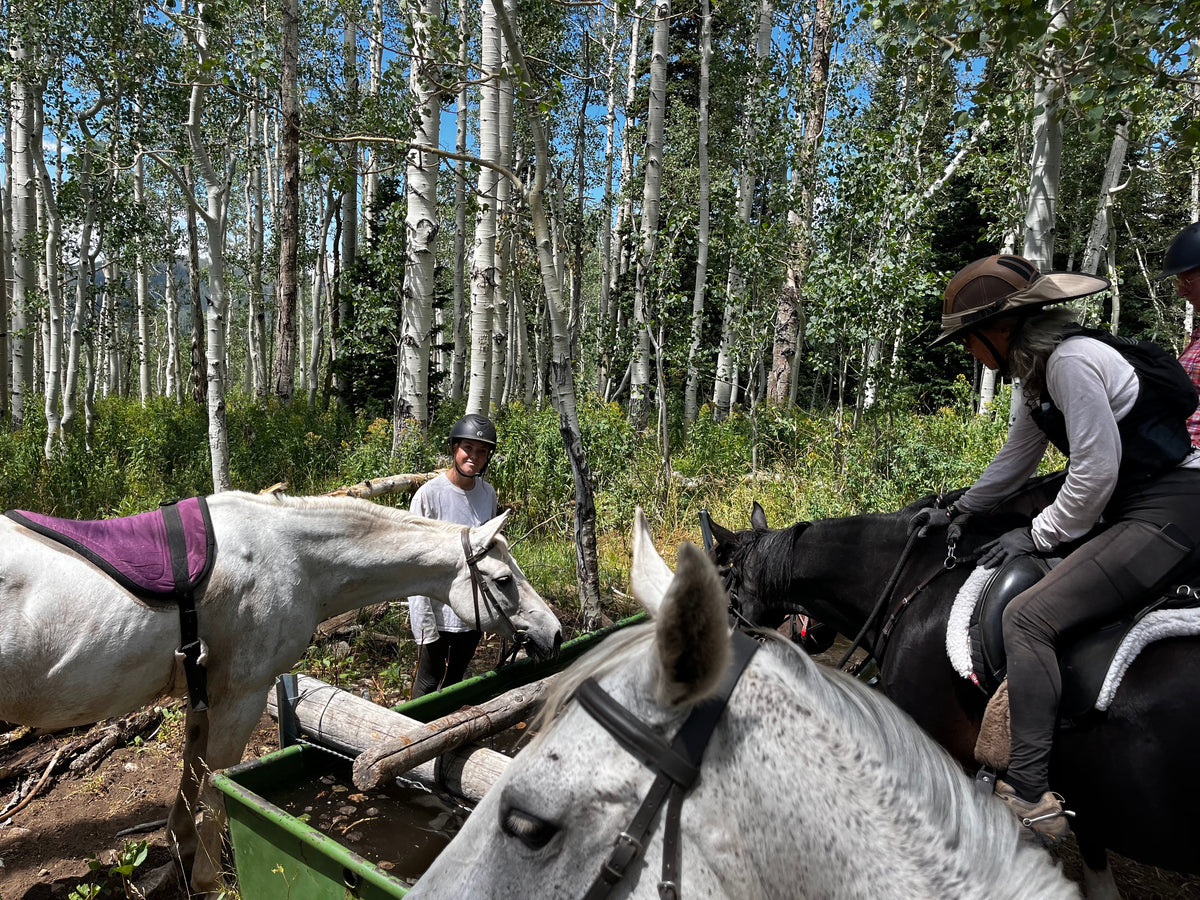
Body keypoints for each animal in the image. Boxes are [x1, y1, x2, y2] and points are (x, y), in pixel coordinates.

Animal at [0, 491, 562, 896]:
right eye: (504, 580)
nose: (555, 633)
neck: (292, 557)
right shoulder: (243, 694)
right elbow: (216, 784)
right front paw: (208, 880)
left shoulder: (207, 692)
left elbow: (192, 775)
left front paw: (179, 857)